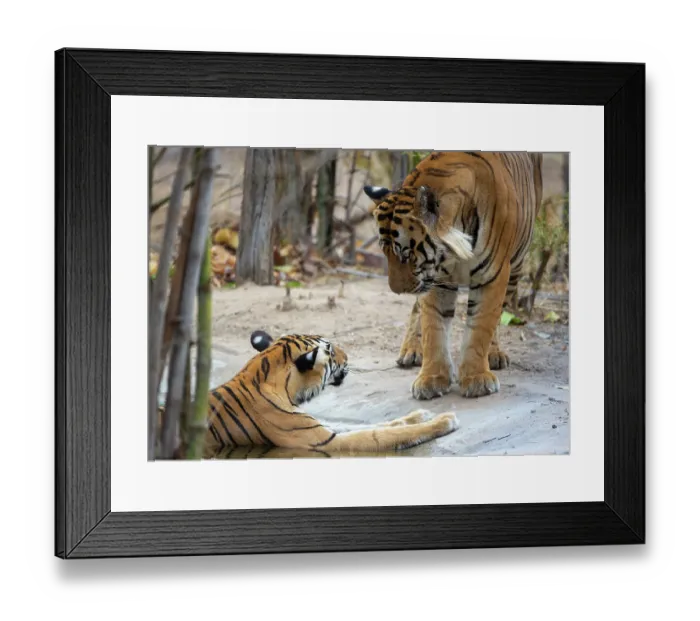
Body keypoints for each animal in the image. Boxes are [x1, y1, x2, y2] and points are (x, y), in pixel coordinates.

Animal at [202, 330, 459, 458]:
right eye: (332, 351)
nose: (348, 356)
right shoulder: (323, 441)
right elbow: (380, 434)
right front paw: (445, 420)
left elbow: (379, 424)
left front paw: (419, 415)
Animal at [364, 150, 543, 401]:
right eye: (385, 252)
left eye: (406, 254)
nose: (396, 290)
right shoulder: (436, 280)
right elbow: (433, 328)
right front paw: (431, 379)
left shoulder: (493, 276)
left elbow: (481, 326)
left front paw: (476, 378)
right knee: (417, 310)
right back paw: (411, 351)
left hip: (516, 263)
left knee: (499, 314)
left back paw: (494, 354)